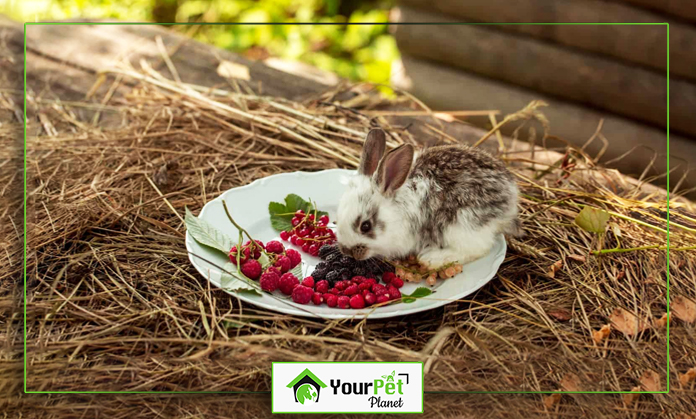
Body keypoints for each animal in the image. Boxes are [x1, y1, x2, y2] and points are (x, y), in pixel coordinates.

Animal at [334, 128, 520, 270]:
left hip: (461, 224)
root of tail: (510, 194)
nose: (346, 250)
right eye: (336, 218)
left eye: (365, 226)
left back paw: (433, 259)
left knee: (477, 248)